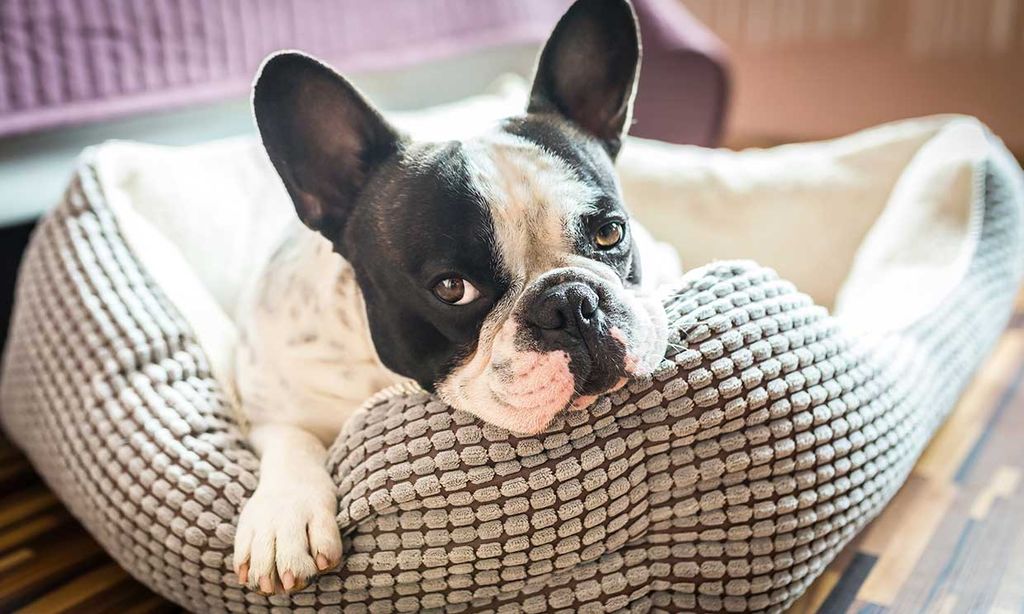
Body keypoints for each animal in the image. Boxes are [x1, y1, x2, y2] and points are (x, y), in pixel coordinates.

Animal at [232, 0, 679, 593]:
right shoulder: (267, 399)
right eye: (452, 289)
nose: (572, 304)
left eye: (610, 233)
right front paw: (284, 516)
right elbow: (291, 438)